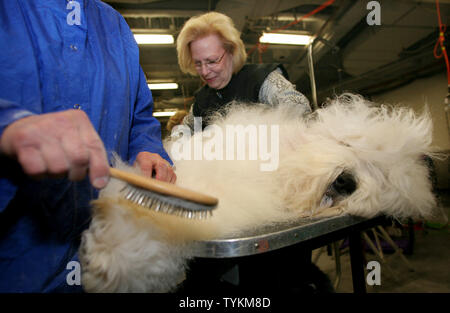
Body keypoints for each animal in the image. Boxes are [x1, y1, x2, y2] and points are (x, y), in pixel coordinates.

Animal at [78, 93, 440, 292]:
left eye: (380, 174)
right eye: (348, 145)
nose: (347, 182)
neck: (285, 172)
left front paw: (111, 260)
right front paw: (106, 253)